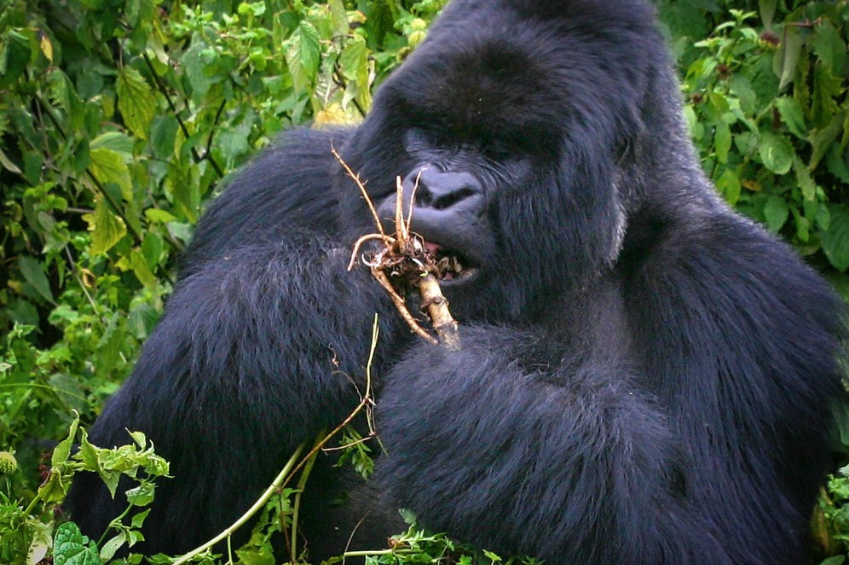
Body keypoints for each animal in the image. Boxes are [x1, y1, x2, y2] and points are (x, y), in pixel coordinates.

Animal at [68, 1, 848, 564]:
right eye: (433, 133)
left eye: (502, 149)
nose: (436, 190)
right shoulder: (278, 188)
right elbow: (121, 508)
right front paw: (291, 316)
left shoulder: (746, 294)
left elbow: (719, 534)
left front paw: (480, 412)